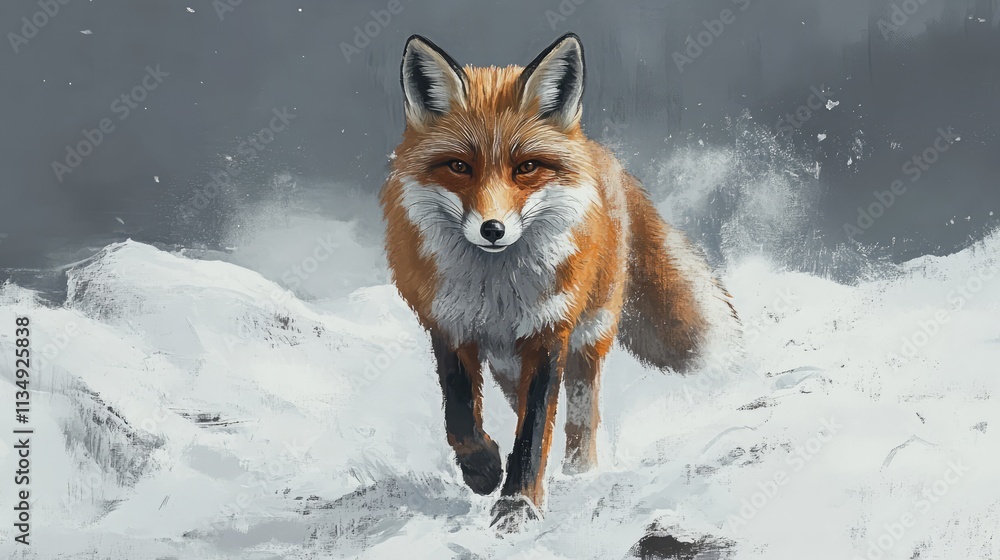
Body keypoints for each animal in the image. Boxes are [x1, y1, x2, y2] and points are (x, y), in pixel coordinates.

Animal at [380, 33, 740, 531]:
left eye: (526, 167)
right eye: (459, 166)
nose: (493, 229)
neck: (495, 294)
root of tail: (596, 151)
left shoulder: (549, 330)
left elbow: (534, 433)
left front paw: (518, 505)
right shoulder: (448, 325)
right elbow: (460, 416)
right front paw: (483, 469)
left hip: (591, 329)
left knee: (580, 414)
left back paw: (579, 472)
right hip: (508, 363)